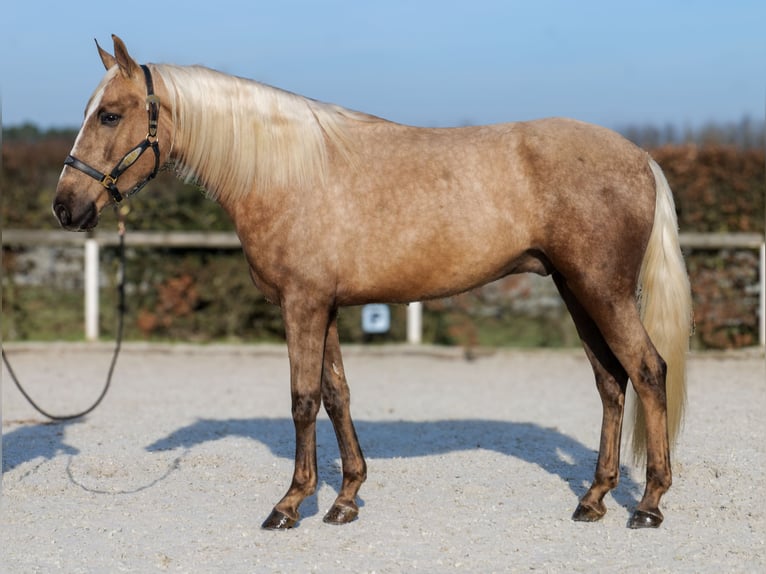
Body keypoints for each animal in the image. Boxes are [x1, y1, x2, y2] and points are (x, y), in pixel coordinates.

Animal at [54, 35, 692, 530]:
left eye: (110, 114)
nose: (66, 207)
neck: (286, 172)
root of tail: (639, 157)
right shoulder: (327, 305)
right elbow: (337, 394)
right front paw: (345, 498)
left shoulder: (302, 305)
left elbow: (303, 399)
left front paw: (291, 503)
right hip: (575, 290)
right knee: (610, 382)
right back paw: (594, 498)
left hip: (602, 291)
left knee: (647, 370)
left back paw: (649, 503)